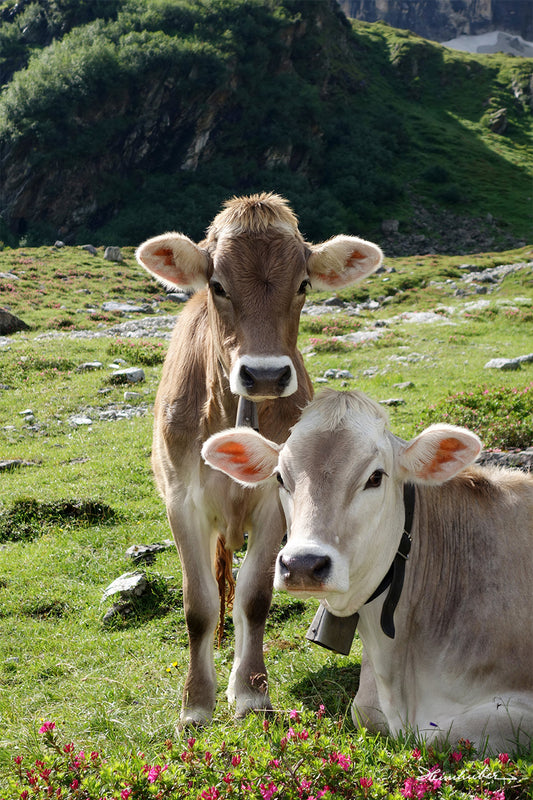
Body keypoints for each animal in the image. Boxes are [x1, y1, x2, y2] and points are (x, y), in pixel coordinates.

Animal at [135, 195, 383, 726]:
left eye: (303, 285)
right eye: (218, 285)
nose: (265, 374)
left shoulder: (276, 501)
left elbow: (253, 597)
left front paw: (249, 691)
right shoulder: (181, 500)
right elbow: (200, 605)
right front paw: (196, 703)